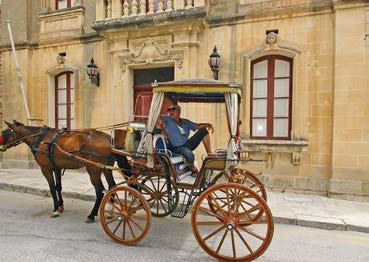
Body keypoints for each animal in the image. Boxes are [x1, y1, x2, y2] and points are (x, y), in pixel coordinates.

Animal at [0, 119, 129, 222]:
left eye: (4, 133)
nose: (1, 146)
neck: (40, 138)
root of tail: (108, 138)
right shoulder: (57, 167)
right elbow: (58, 187)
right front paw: (61, 206)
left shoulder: (45, 169)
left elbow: (52, 188)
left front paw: (55, 209)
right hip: (106, 168)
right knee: (112, 186)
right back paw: (110, 212)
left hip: (93, 169)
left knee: (100, 191)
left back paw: (92, 215)